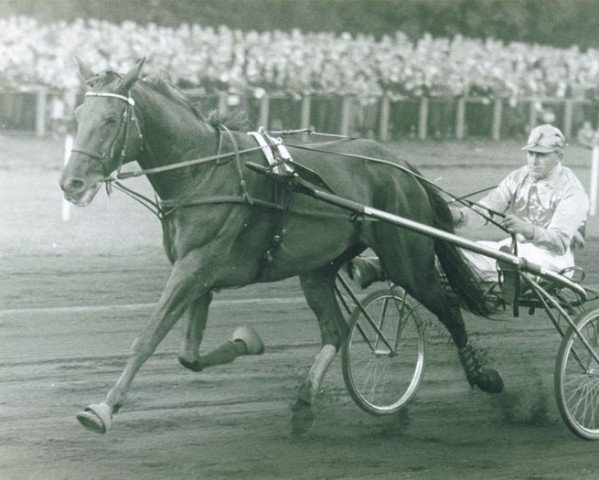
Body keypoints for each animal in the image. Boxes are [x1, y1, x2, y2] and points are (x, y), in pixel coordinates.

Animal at [59, 57, 502, 436]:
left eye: (111, 119)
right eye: (78, 116)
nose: (71, 183)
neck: (203, 170)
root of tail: (401, 167)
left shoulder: (194, 267)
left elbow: (147, 337)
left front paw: (103, 409)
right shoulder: (199, 274)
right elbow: (189, 355)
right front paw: (246, 342)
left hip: (407, 260)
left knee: (448, 307)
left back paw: (484, 377)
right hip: (318, 268)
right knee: (335, 329)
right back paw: (305, 400)